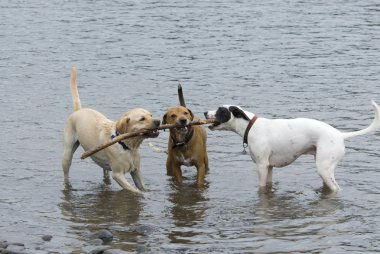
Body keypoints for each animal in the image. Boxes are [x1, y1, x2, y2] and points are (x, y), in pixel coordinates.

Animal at [205, 101, 380, 192]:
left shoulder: (261, 166)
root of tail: (339, 134)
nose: (205, 112)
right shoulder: (269, 168)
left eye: (220, 110)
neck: (251, 126)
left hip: (324, 169)